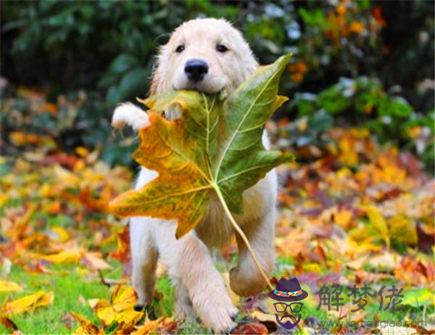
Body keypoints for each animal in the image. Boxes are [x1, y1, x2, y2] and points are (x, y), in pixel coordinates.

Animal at [110, 17, 278, 334]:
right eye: (180, 48)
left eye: (222, 48)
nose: (196, 67)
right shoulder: (174, 223)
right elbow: (193, 259)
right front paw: (218, 309)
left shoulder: (260, 209)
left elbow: (260, 261)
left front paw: (238, 281)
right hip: (142, 240)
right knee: (146, 275)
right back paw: (144, 311)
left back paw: (185, 316)